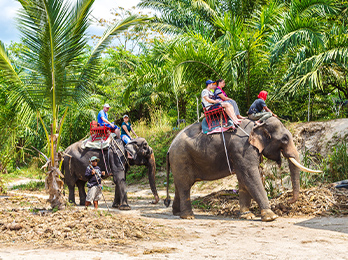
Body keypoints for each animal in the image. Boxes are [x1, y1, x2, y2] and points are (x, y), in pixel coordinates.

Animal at [164, 118, 320, 221]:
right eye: (285, 139)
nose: (288, 202)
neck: (258, 125)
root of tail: (169, 148)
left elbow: (243, 179)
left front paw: (247, 216)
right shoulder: (243, 149)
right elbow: (249, 175)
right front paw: (271, 217)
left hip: (179, 161)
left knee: (179, 185)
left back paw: (177, 213)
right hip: (181, 158)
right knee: (185, 186)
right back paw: (188, 217)